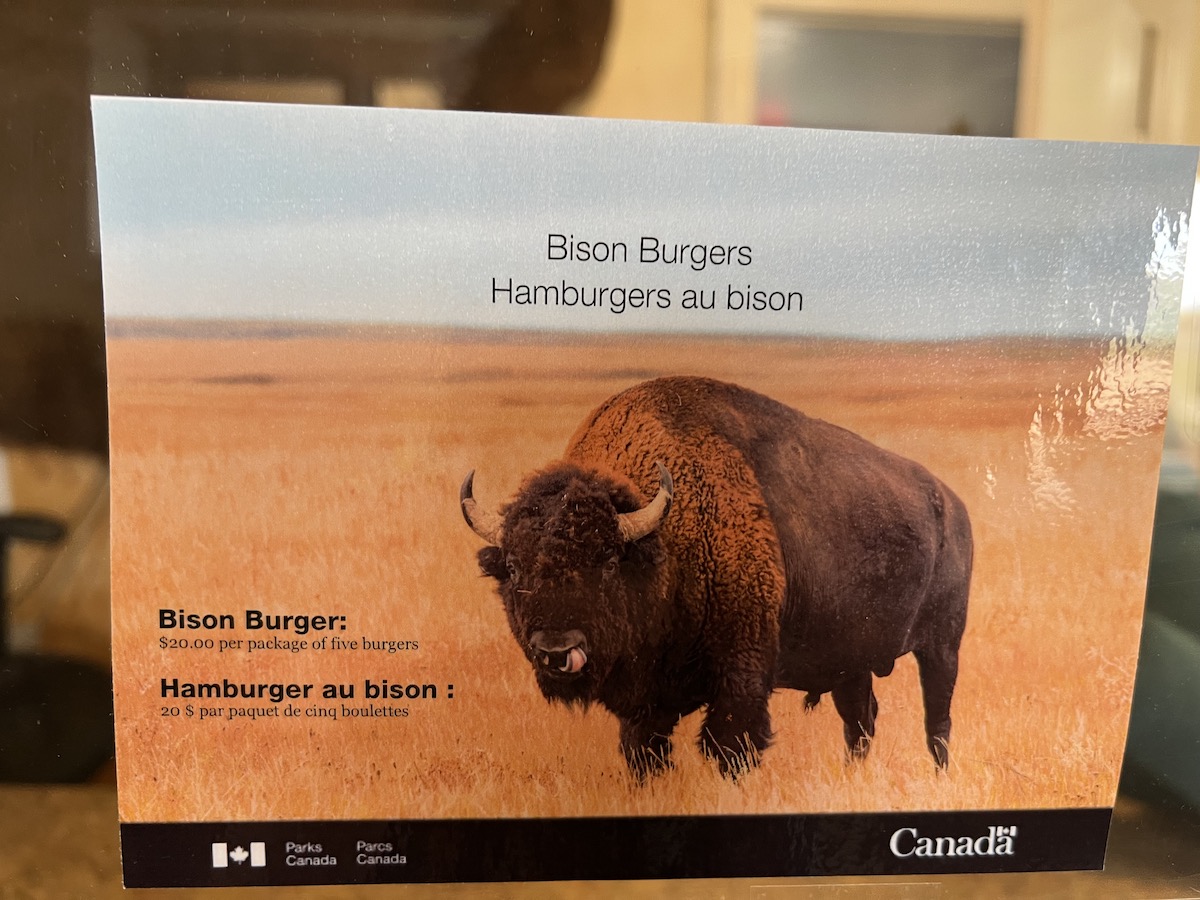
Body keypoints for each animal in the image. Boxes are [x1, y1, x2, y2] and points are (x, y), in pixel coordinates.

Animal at [461, 376, 971, 777]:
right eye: (513, 566)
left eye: (607, 561)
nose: (556, 651)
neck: (663, 549)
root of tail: (951, 504)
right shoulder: (645, 705)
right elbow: (645, 751)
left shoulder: (740, 677)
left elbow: (730, 745)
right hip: (853, 660)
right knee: (861, 720)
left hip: (941, 647)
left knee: (937, 720)